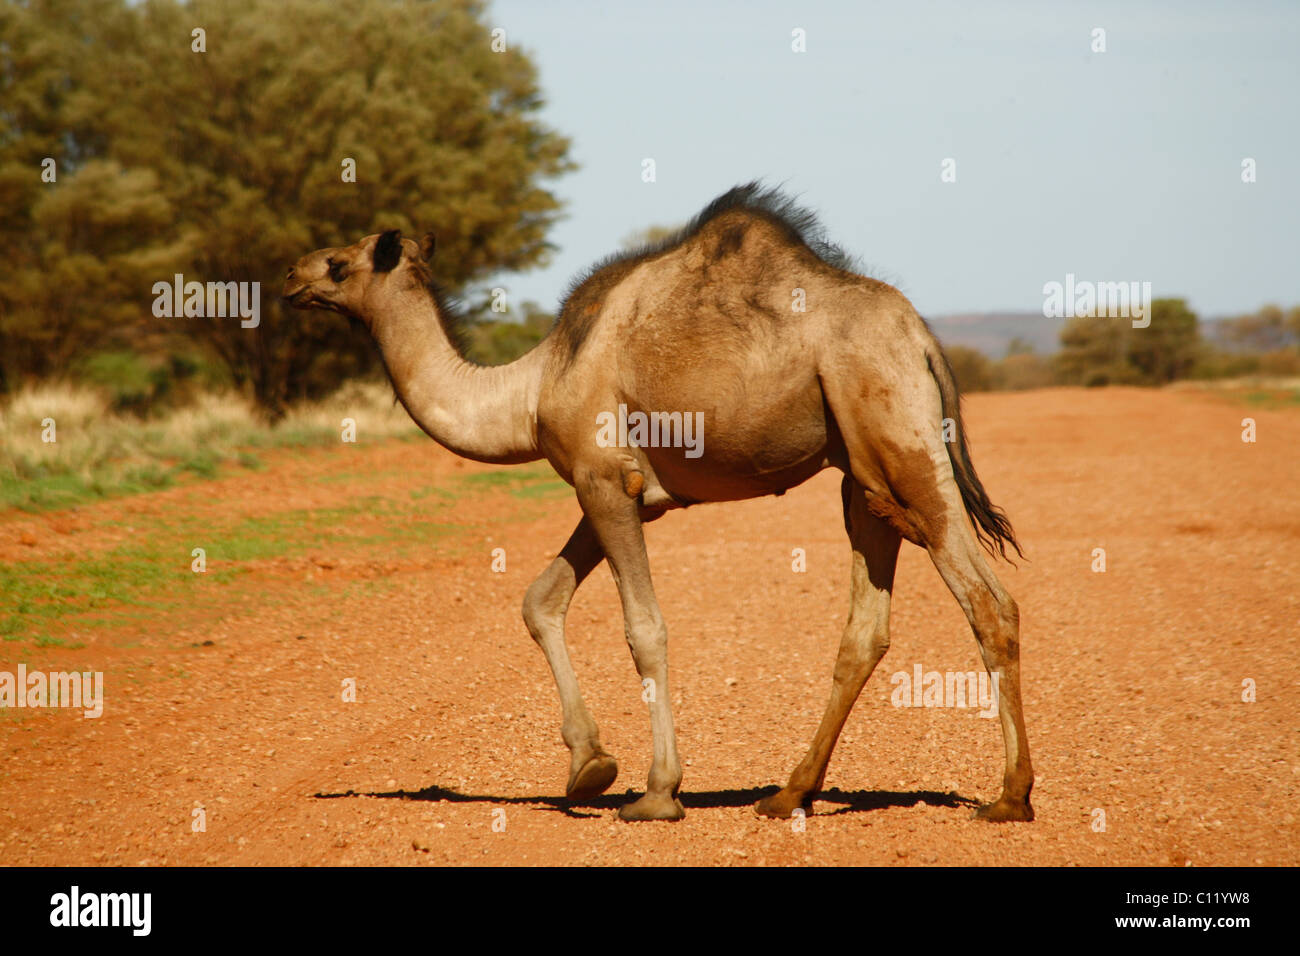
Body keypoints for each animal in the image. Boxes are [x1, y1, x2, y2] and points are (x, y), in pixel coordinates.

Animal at [284, 184, 1034, 822]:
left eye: (339, 262)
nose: (291, 275)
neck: (532, 387)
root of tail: (922, 338)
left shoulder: (602, 480)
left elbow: (644, 629)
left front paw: (656, 791)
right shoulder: (623, 493)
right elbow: (539, 600)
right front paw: (589, 766)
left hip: (900, 439)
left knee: (988, 602)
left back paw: (1009, 797)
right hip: (863, 475)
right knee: (866, 629)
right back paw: (789, 793)